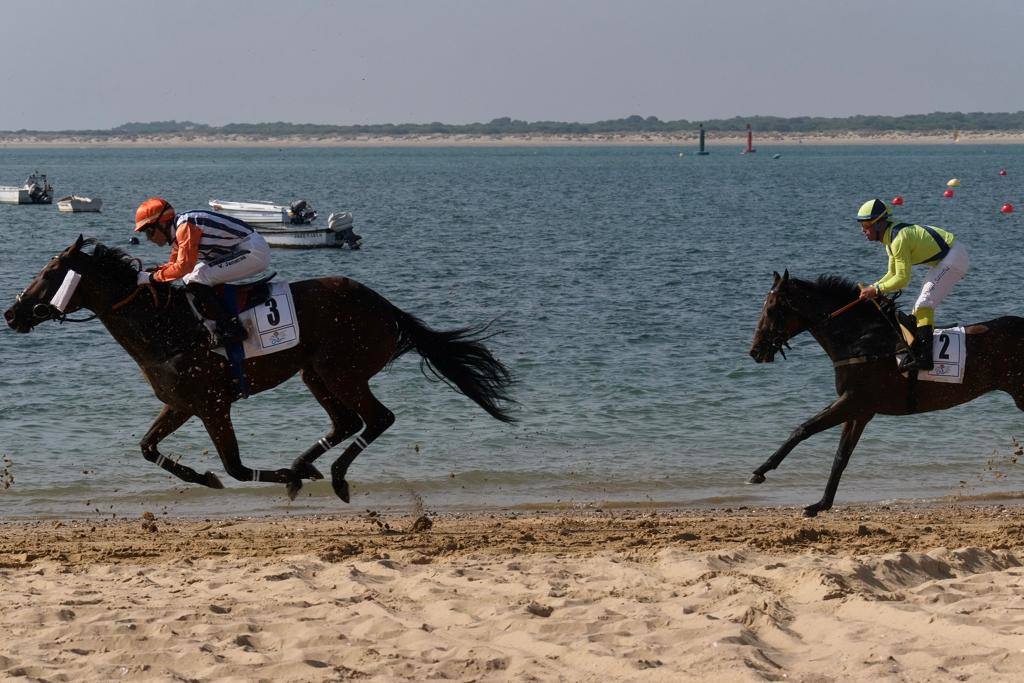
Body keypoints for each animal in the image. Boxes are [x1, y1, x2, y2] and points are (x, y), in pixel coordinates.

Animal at [6, 236, 520, 501]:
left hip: (342, 370)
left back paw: (331, 476)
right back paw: (305, 465)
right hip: (315, 373)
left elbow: (234, 468)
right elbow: (148, 449)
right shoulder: (181, 404)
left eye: (50, 274)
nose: (11, 314)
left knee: (377, 418)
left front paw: (265, 478)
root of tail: (385, 307)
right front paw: (202, 476)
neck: (165, 326)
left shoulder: (214, 405)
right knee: (346, 422)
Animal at [745, 270, 1024, 516]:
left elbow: (803, 429)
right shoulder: (859, 411)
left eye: (771, 310)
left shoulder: (854, 401)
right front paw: (820, 504)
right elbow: (840, 456)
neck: (862, 340)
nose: (755, 351)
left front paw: (760, 471)